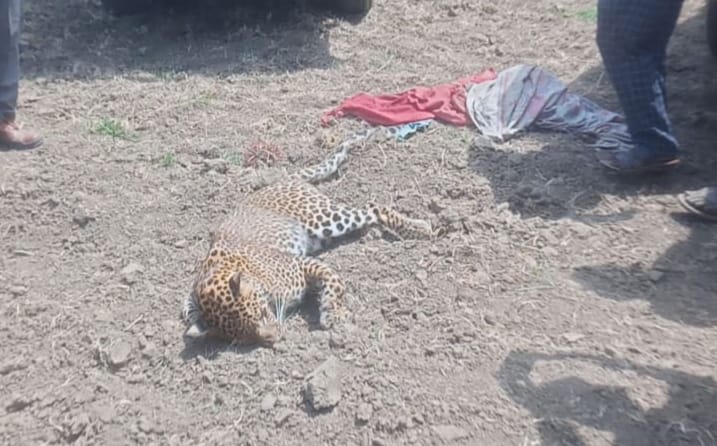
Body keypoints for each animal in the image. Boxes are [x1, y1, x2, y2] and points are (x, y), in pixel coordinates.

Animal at [181, 128, 434, 347]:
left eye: (261, 315)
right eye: (243, 338)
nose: (274, 340)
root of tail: (281, 180)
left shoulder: (301, 263)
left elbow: (335, 282)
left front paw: (333, 313)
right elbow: (187, 311)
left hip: (323, 218)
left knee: (373, 207)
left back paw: (420, 229)